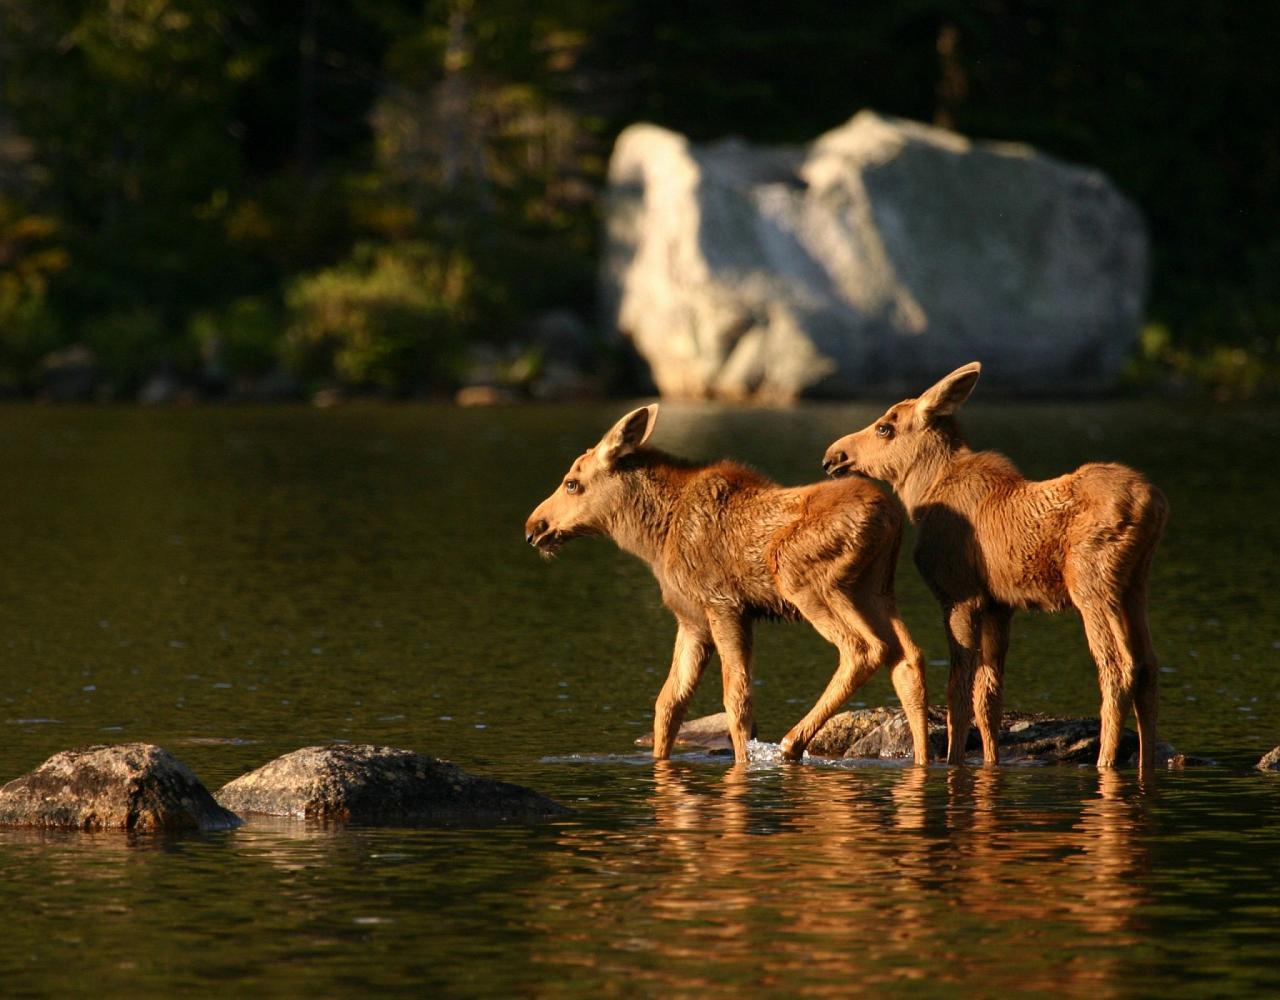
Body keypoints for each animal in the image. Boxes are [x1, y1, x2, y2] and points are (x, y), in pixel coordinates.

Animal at [522, 404, 931, 763]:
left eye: (572, 484)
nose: (533, 527)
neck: (653, 537)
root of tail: (891, 516)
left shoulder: (724, 605)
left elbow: (737, 700)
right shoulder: (691, 620)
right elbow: (669, 702)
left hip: (806, 581)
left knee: (863, 648)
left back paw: (792, 742)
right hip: (877, 589)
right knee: (907, 656)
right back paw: (923, 760)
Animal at [819, 363, 1172, 768]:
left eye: (884, 427)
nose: (833, 455)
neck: (922, 494)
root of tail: (1154, 504)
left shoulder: (960, 595)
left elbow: (959, 690)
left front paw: (952, 759)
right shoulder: (999, 605)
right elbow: (988, 697)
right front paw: (990, 762)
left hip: (1092, 585)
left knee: (1118, 668)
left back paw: (1105, 761)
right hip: (1135, 585)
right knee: (1148, 667)